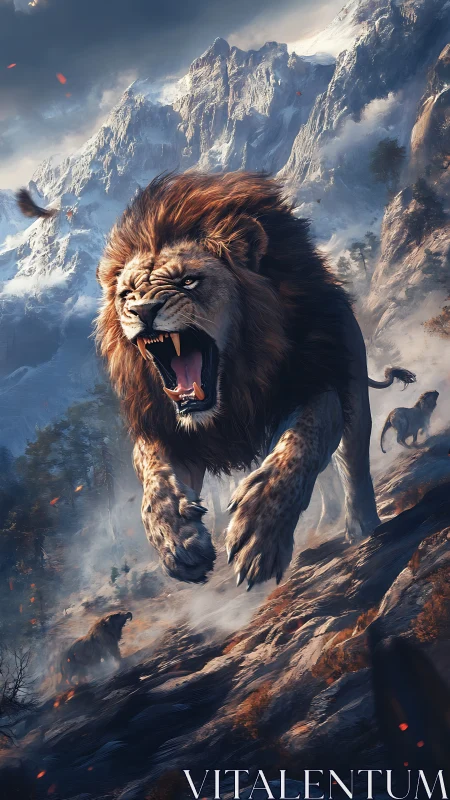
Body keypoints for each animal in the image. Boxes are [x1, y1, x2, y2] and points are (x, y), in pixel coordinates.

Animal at [91, 172, 416, 589]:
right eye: (127, 293)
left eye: (189, 281)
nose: (143, 309)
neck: (233, 389)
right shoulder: (166, 426)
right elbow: (154, 479)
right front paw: (177, 538)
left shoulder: (316, 382)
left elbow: (298, 448)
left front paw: (260, 534)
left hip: (353, 387)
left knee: (352, 463)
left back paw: (363, 527)